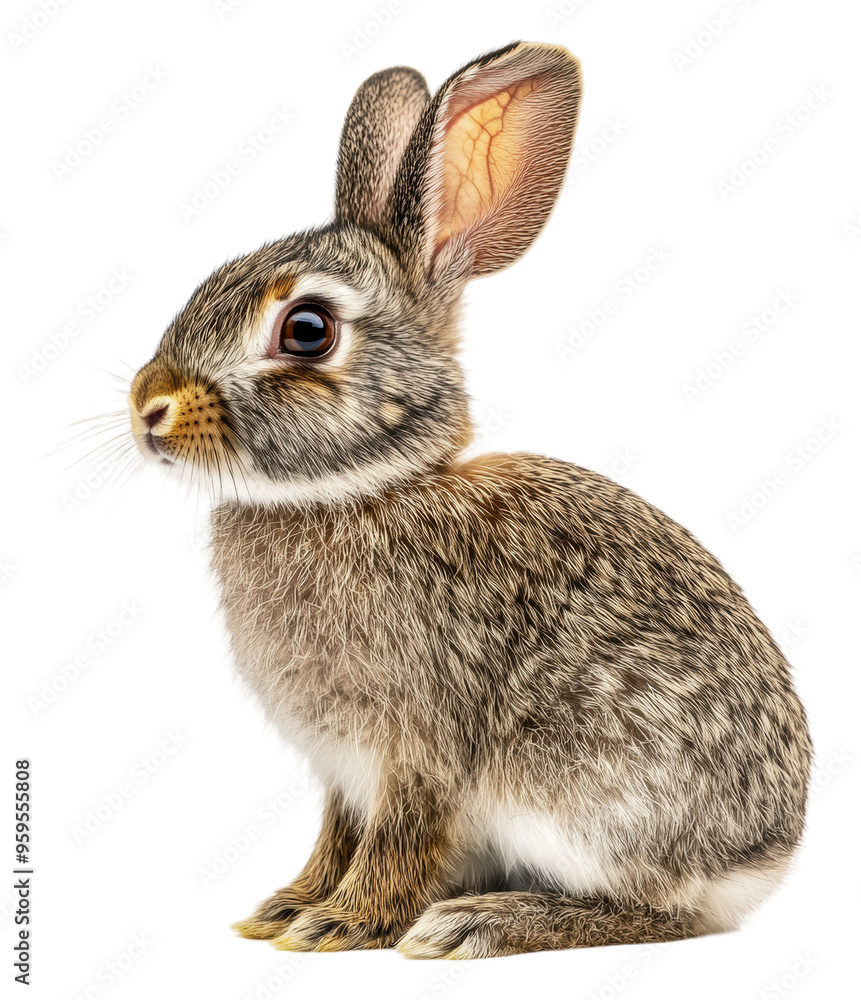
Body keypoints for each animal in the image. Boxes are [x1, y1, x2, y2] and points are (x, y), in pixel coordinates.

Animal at [127, 41, 810, 959]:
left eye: (306, 330)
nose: (149, 407)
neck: (357, 491)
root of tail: (765, 857)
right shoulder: (342, 770)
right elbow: (338, 834)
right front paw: (286, 909)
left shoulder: (419, 744)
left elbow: (398, 837)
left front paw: (342, 923)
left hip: (570, 785)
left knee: (660, 912)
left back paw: (477, 922)